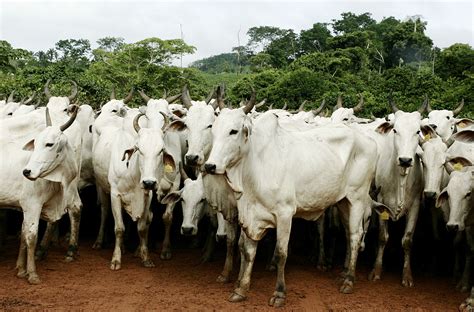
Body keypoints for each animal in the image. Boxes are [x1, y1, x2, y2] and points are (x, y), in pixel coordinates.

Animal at [206, 103, 384, 308]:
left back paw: (348, 281)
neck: (255, 165)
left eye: (233, 131)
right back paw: (344, 274)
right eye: (213, 130)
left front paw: (279, 293)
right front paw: (240, 289)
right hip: (343, 202)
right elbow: (248, 251)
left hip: (357, 198)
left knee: (355, 236)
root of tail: (369, 140)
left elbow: (281, 253)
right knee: (348, 233)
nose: (210, 166)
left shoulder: (285, 214)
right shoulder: (250, 215)